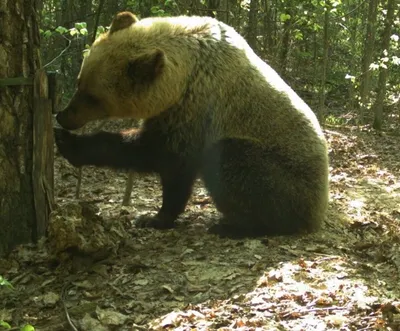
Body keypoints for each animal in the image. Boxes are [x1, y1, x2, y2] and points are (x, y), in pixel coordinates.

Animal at [54, 11, 330, 239]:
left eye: (93, 97)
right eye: (79, 82)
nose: (63, 116)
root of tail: (319, 208)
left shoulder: (195, 110)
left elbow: (165, 159)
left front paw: (154, 217)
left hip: (289, 175)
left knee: (234, 161)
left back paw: (235, 226)